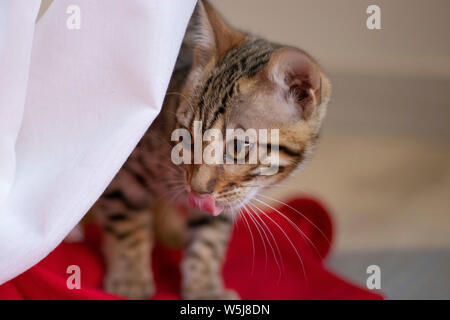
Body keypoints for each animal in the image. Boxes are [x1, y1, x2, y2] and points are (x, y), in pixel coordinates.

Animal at [92, 0, 330, 300]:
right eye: (185, 138)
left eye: (238, 147)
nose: (197, 189)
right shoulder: (121, 164)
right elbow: (125, 219)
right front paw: (130, 277)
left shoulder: (227, 198)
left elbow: (208, 236)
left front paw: (204, 286)